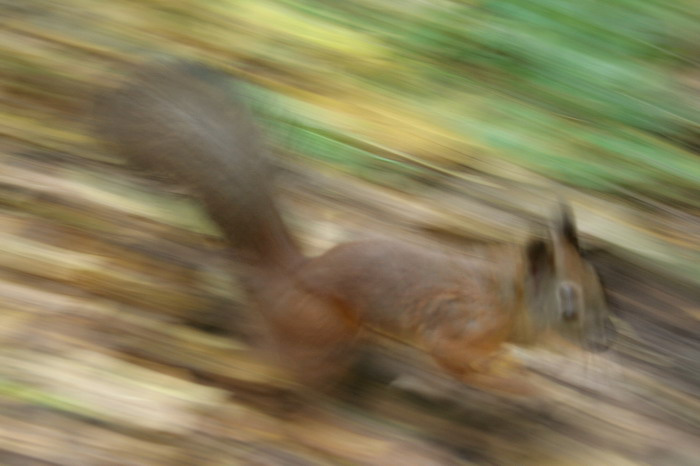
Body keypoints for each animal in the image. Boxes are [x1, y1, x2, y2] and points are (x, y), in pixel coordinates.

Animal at [93, 61, 616, 395]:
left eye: (598, 285)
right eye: (570, 302)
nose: (605, 341)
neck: (510, 301)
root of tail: (294, 275)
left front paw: (516, 365)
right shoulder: (457, 326)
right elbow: (454, 360)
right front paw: (513, 383)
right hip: (327, 327)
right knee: (278, 357)